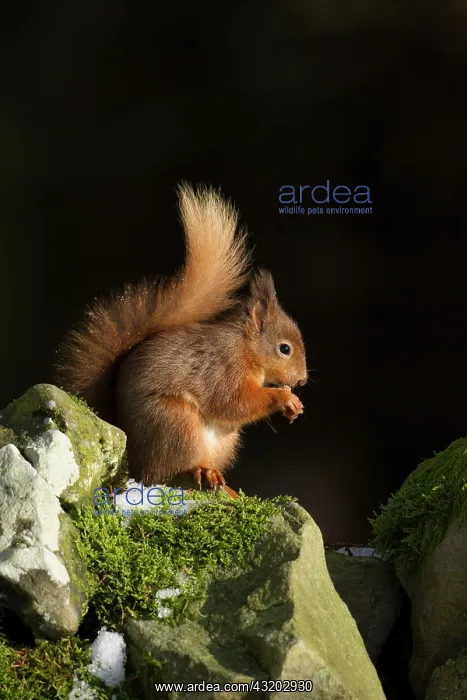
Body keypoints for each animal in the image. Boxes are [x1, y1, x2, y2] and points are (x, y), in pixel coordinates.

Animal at [55, 184, 308, 498]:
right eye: (285, 349)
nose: (302, 380)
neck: (245, 347)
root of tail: (135, 462)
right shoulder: (222, 368)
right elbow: (233, 401)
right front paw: (285, 397)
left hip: (221, 440)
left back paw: (225, 485)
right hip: (174, 423)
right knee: (168, 472)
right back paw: (202, 472)